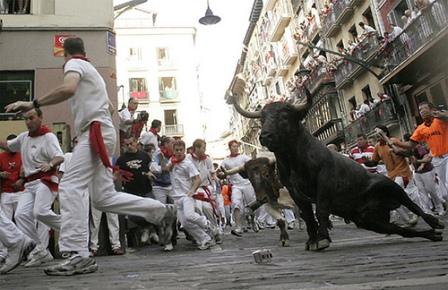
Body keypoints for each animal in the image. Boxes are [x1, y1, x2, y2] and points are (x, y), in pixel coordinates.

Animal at [231, 92, 444, 250]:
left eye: (284, 116)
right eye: (263, 119)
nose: (265, 136)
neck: (293, 161)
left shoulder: (325, 181)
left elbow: (321, 209)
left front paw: (322, 238)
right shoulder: (294, 192)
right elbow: (307, 215)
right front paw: (311, 240)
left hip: (390, 185)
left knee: (411, 203)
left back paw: (434, 222)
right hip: (369, 221)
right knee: (403, 231)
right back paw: (431, 235)